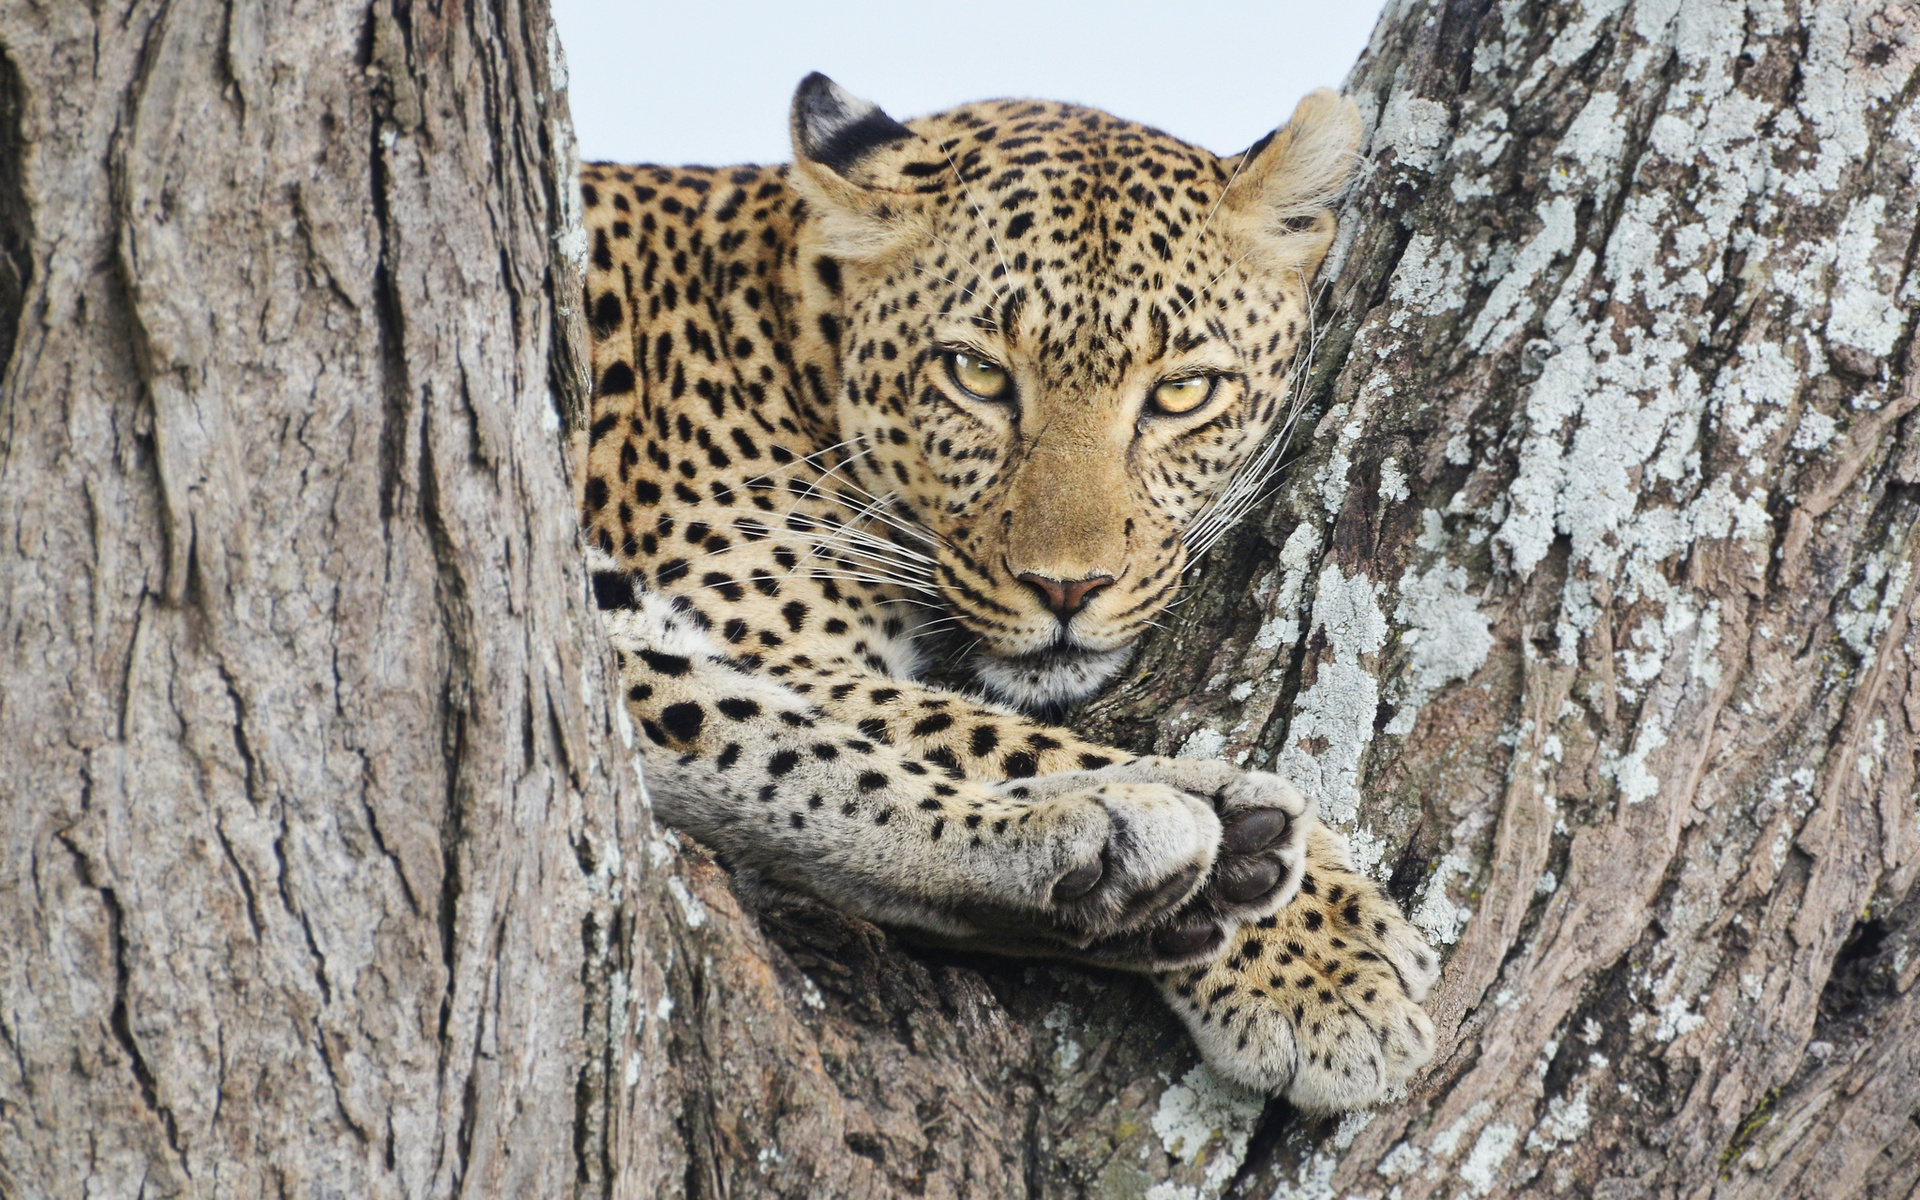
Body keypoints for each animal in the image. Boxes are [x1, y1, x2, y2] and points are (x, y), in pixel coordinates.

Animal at [572, 72, 1443, 1105]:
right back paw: (1174, 843)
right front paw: (1315, 952)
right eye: (977, 375)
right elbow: (967, 730)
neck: (785, 328)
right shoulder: (763, 634)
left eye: (1182, 393)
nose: (1067, 589)